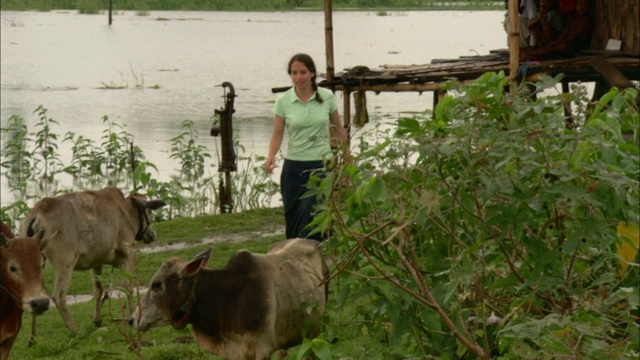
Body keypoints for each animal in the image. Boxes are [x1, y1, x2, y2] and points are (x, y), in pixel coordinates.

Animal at [20, 187, 168, 338]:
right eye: (150, 212)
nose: (153, 235)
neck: (126, 210)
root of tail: (37, 211)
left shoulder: (97, 262)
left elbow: (98, 290)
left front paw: (97, 320)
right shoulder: (128, 252)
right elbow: (129, 286)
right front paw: (132, 318)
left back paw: (33, 337)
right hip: (65, 264)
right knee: (59, 296)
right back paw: (75, 330)